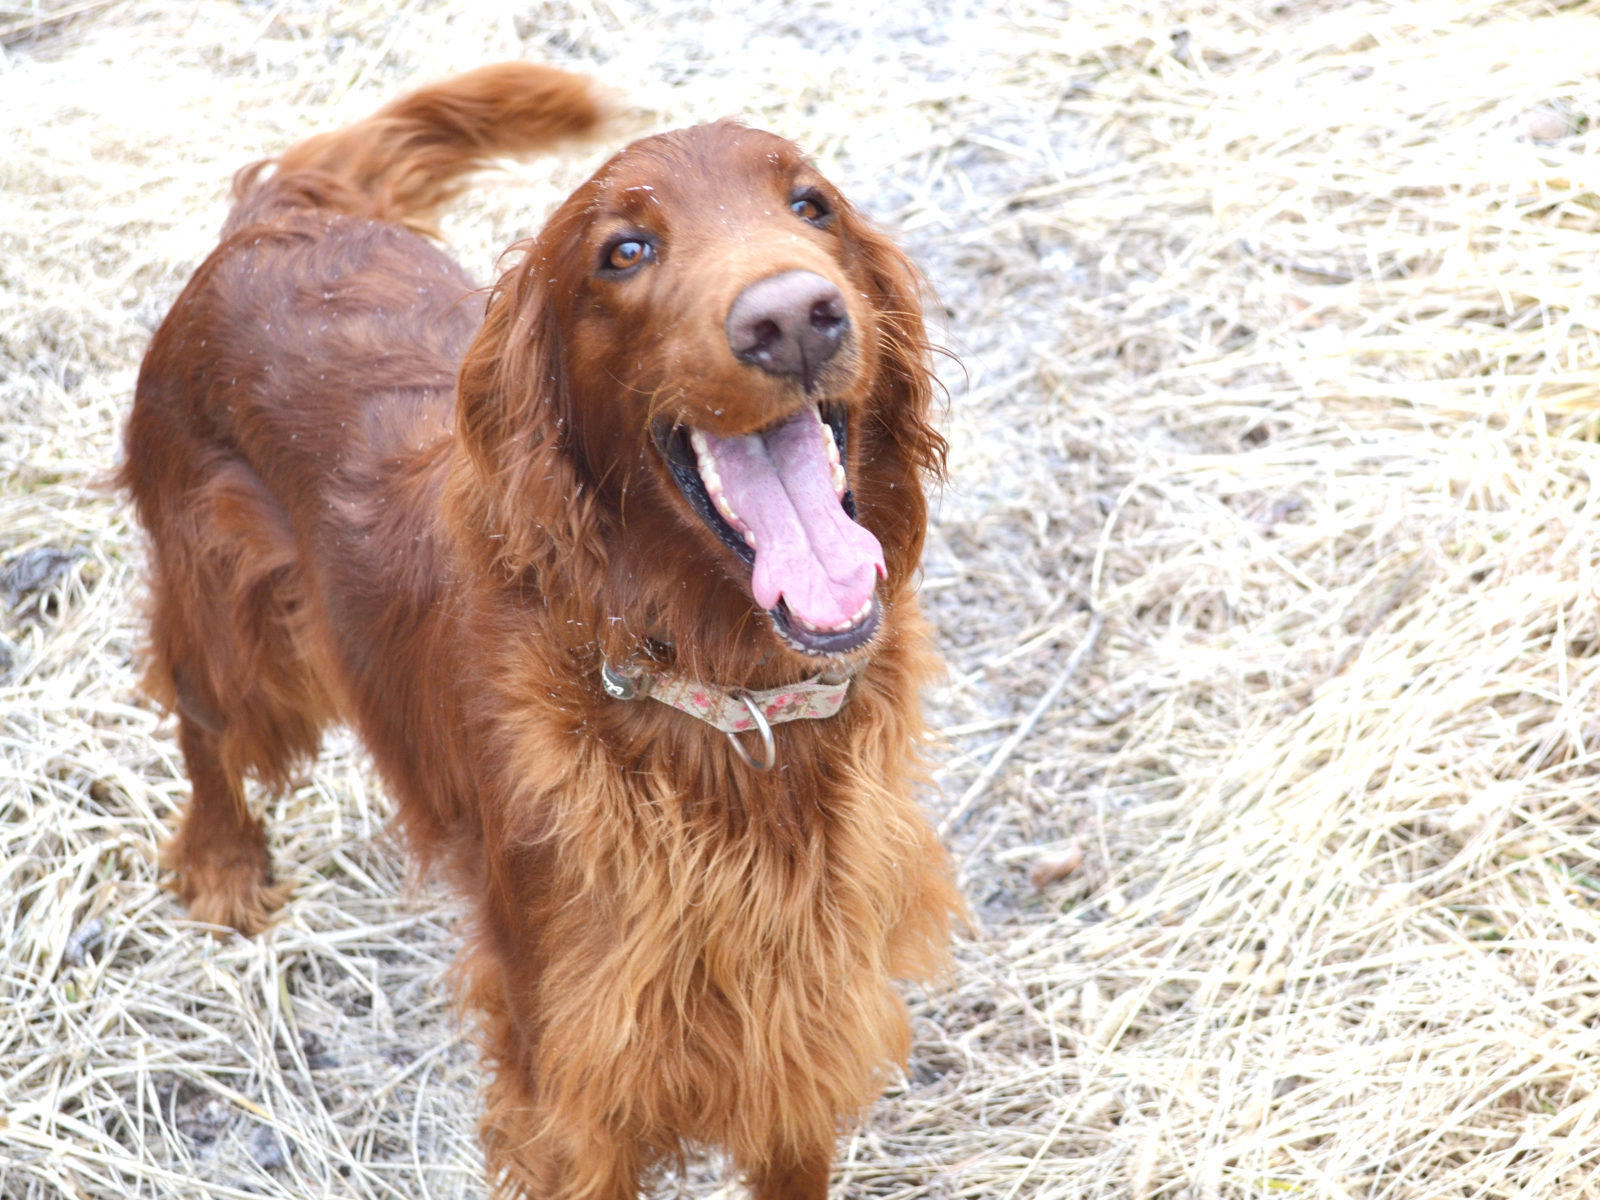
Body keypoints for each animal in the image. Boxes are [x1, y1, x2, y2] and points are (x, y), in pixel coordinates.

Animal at [121, 63, 960, 1200]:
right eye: (625, 251)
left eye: (810, 205)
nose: (795, 319)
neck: (723, 703)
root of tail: (282, 216)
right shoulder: (569, 1073)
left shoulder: (798, 1023)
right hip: (226, 610)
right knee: (202, 724)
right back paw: (222, 865)